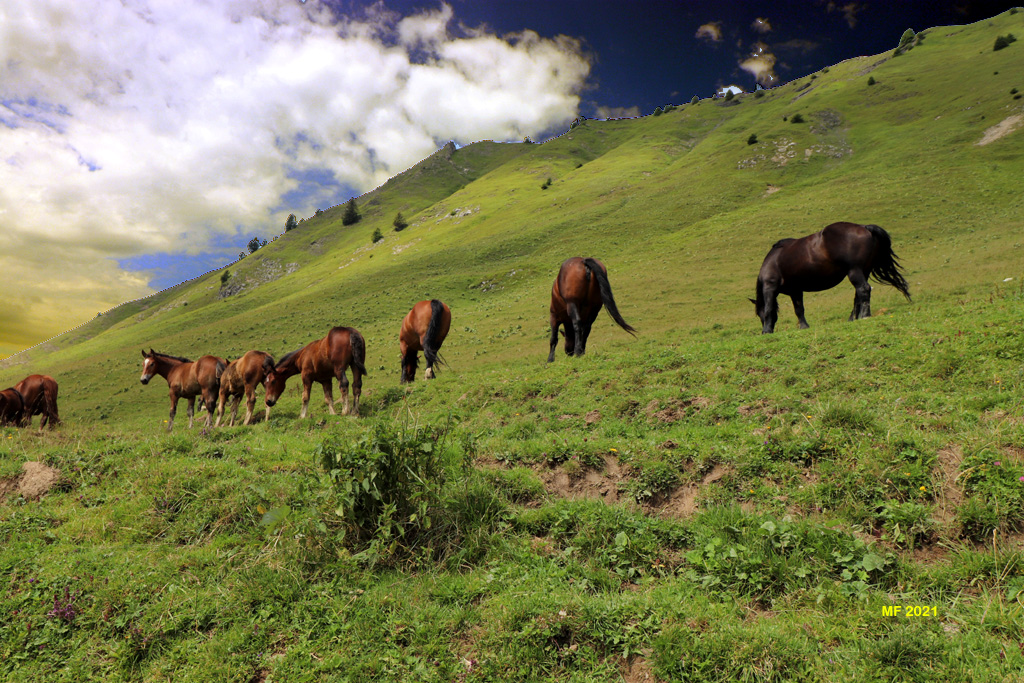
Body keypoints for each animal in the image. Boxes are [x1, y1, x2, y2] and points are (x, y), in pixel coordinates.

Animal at [753, 222, 913, 333]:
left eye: (759, 315)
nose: (763, 327)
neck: (773, 259)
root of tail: (865, 227)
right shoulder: (796, 291)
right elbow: (799, 309)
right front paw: (804, 326)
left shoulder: (770, 287)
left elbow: (769, 308)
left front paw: (766, 330)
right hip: (864, 271)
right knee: (858, 295)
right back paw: (853, 318)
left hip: (854, 270)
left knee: (863, 289)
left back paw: (865, 315)